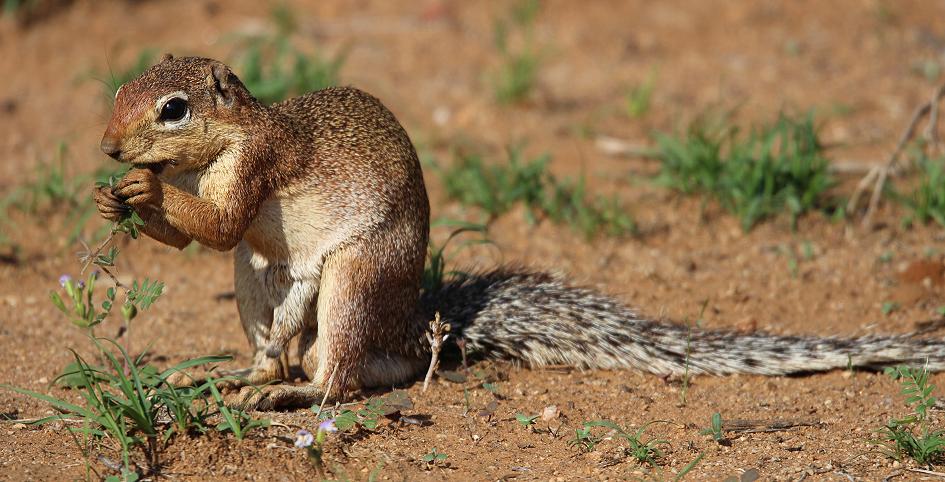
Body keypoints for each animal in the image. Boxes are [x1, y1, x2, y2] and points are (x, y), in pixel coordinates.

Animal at [95, 55, 945, 410]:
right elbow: (203, 234)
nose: (106, 149)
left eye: (172, 108)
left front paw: (144, 191)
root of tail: (405, 335)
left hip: (354, 279)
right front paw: (121, 203)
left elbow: (222, 221)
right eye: (118, 89)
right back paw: (230, 377)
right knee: (277, 348)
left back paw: (291, 395)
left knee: (336, 376)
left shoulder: (263, 162)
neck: (226, 142)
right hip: (260, 282)